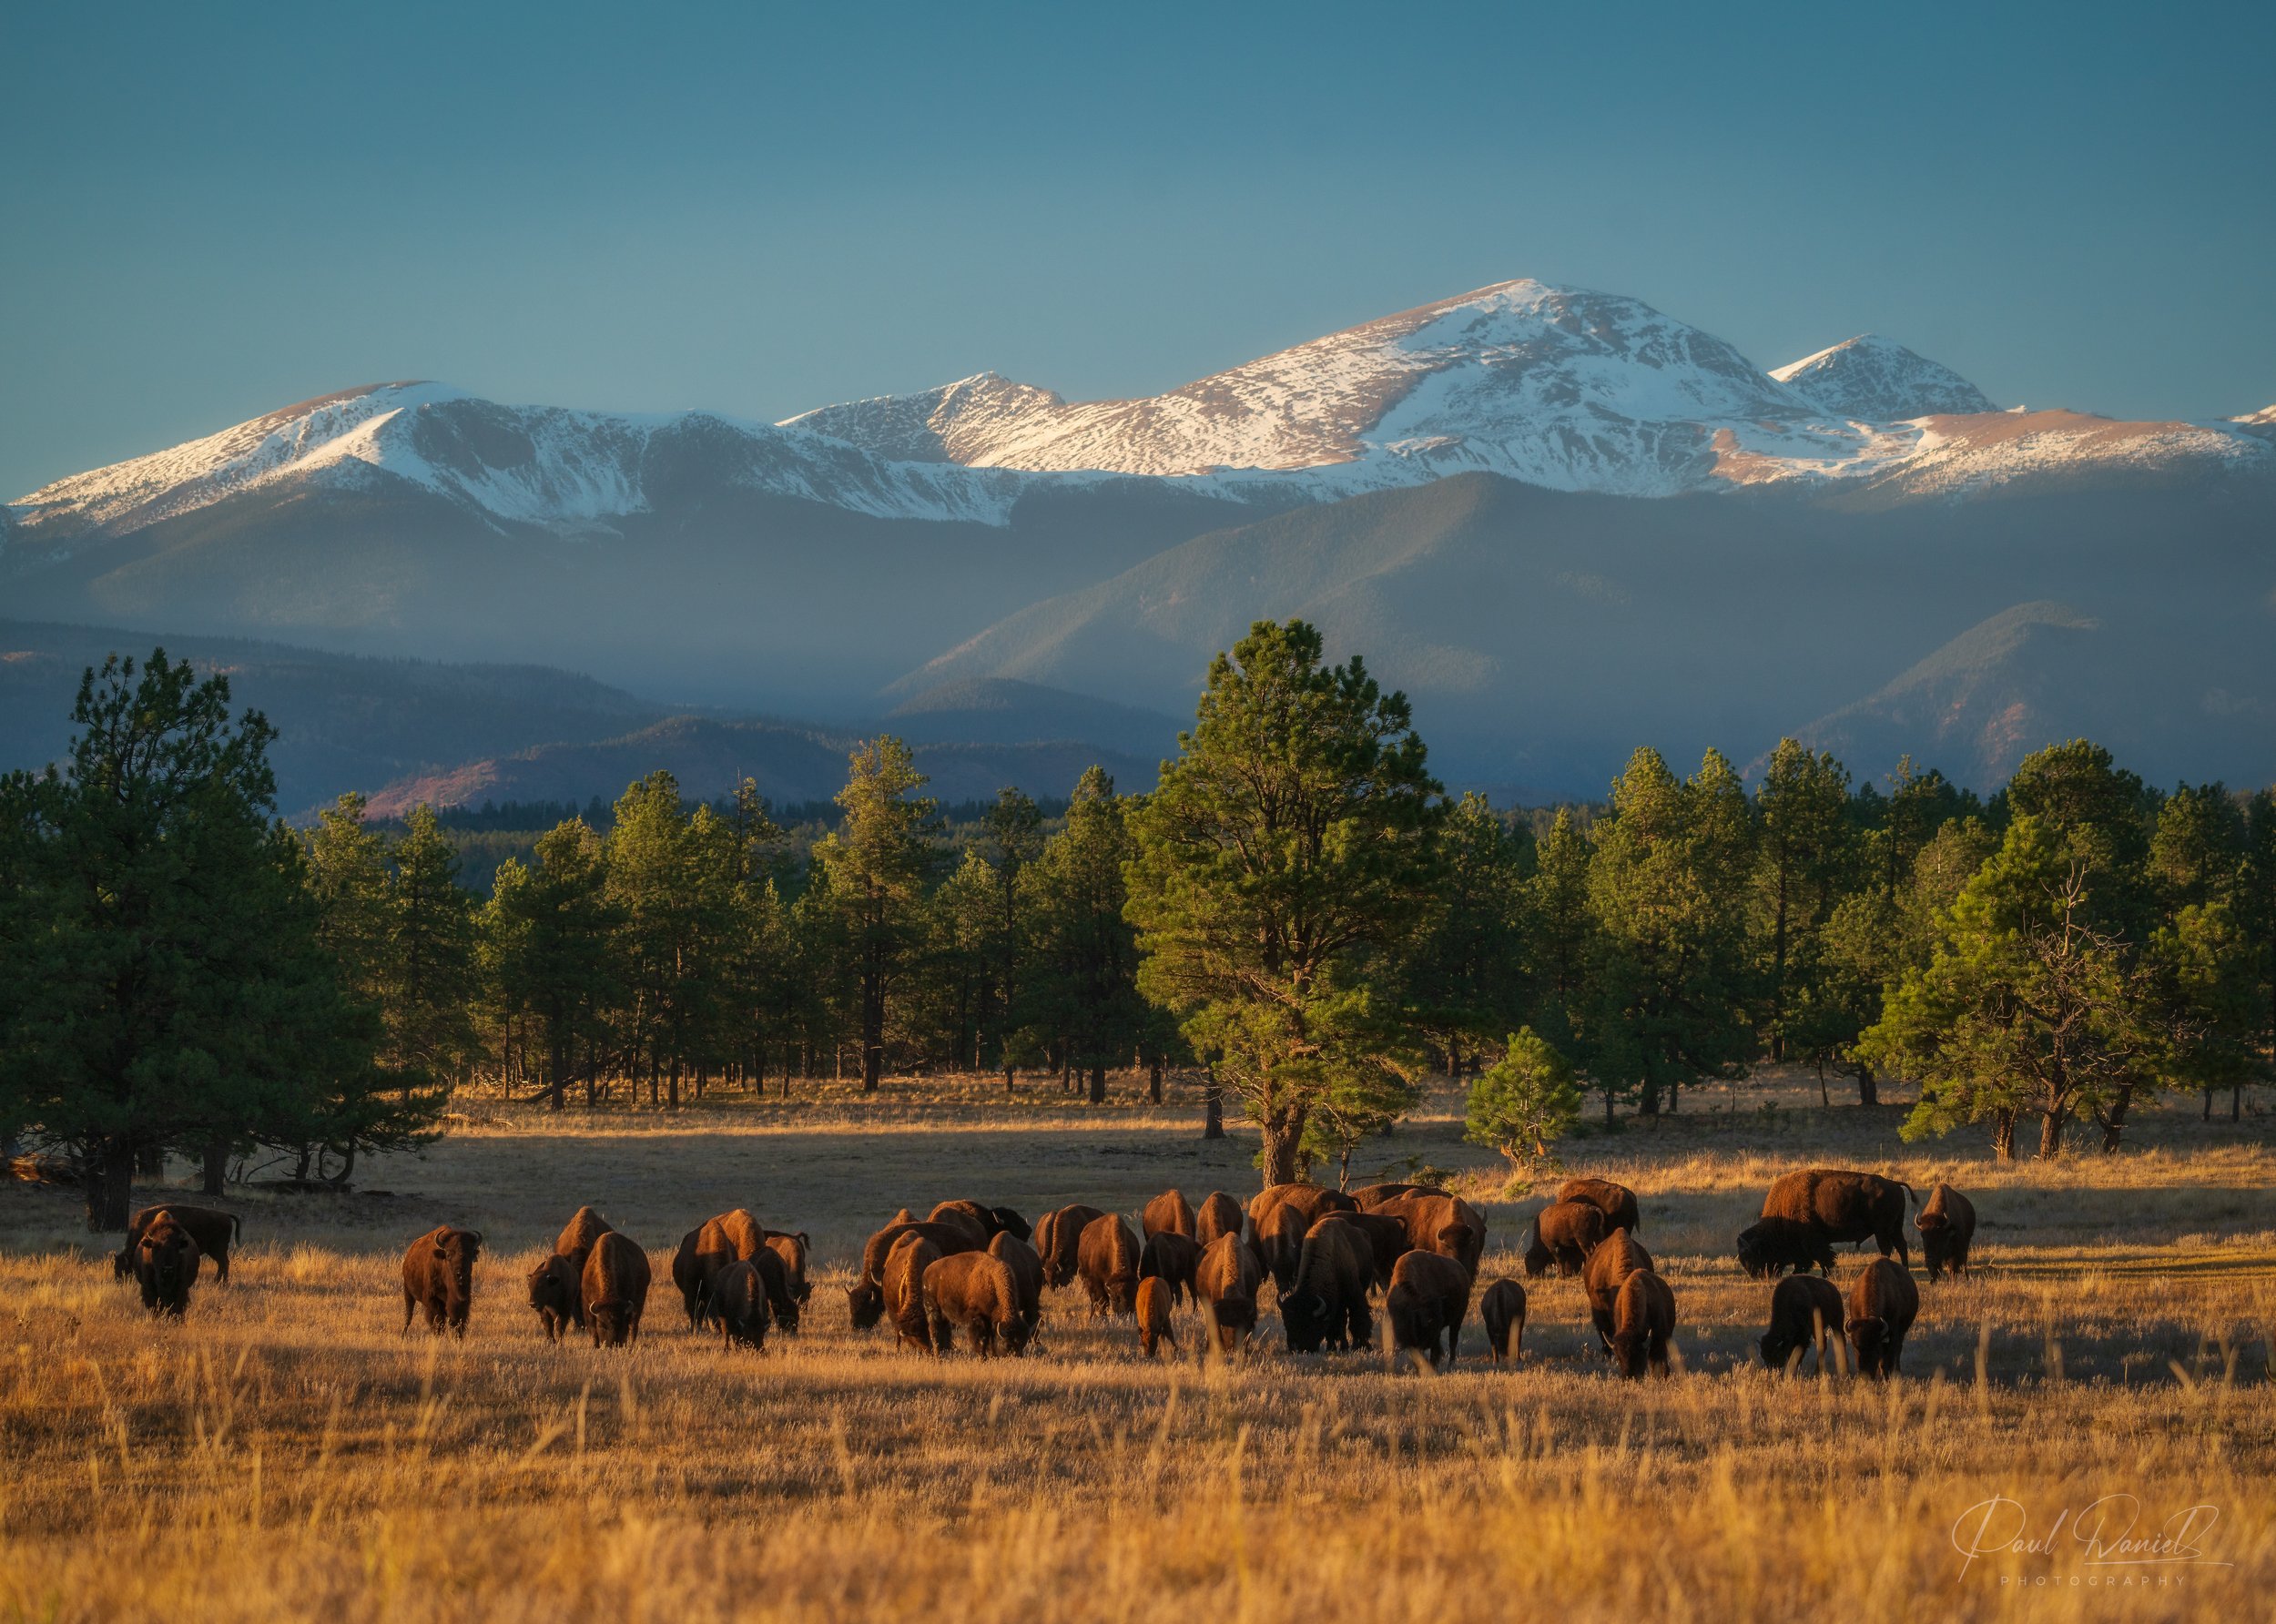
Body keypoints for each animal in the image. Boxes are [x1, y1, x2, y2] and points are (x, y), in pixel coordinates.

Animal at [581, 1231, 650, 1348]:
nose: (611, 1345)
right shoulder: (587, 1305)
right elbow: (593, 1330)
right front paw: (595, 1346)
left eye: (620, 1324)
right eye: (602, 1325)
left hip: (640, 1301)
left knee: (634, 1326)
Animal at [1385, 1250, 1472, 1369]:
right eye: (1426, 1322)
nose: (1430, 1344)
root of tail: (1462, 1270)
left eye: (1440, 1322)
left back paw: (1450, 1363)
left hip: (1458, 1318)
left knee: (1453, 1341)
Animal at [1760, 1169, 1913, 1267]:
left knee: (1887, 1248)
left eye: (1767, 1247)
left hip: (1881, 1230)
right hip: (1895, 1227)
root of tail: (1894, 1183)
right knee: (1901, 1245)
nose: (1767, 1273)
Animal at [1846, 1258, 1919, 1378]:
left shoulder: (1892, 1334)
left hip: (1902, 1332)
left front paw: (1886, 1377)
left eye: (1875, 1346)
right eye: (1855, 1347)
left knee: (1898, 1350)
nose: (1865, 1375)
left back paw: (1897, 1371)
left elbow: (1887, 1359)